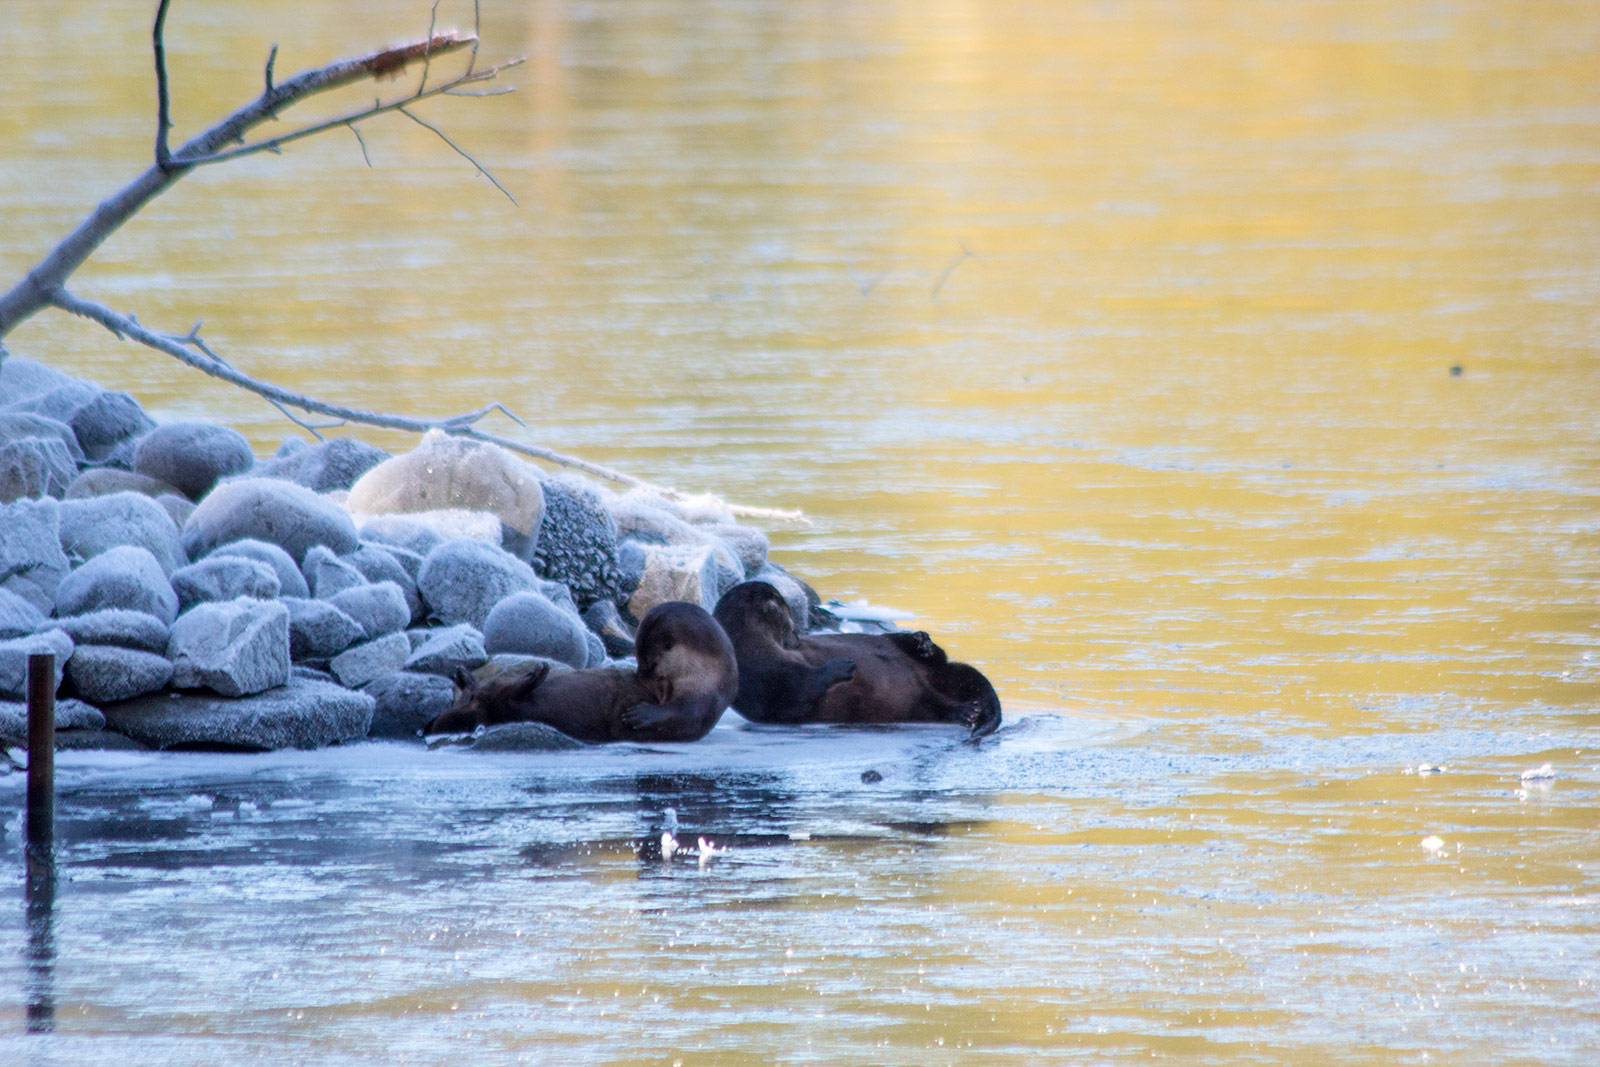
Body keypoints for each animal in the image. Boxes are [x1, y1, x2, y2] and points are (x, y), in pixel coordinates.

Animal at [425, 600, 738, 744]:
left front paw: (639, 715)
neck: (703, 675)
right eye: (640, 661)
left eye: (648, 663)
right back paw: (465, 675)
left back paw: (536, 674)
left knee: (504, 700)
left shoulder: (703, 701)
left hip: (509, 709)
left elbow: (678, 714)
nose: (639, 674)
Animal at [713, 580, 1001, 738]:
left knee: (923, 652)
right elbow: (798, 691)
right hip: (908, 704)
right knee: (933, 706)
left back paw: (921, 643)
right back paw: (966, 711)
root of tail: (934, 678)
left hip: (915, 661)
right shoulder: (760, 675)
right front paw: (842, 665)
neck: (752, 646)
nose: (796, 634)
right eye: (790, 617)